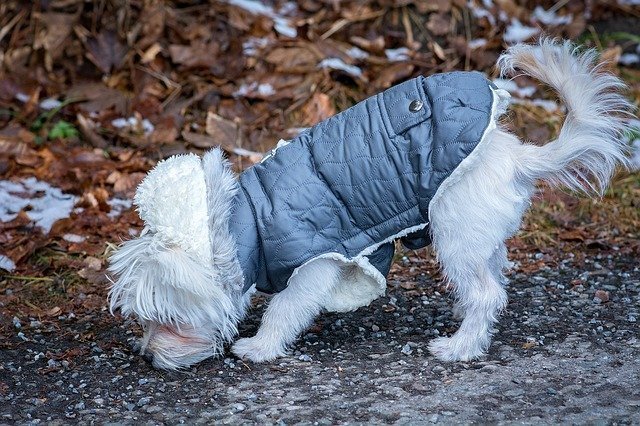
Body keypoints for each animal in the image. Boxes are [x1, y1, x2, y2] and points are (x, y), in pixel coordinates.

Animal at [109, 40, 632, 372]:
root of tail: (512, 155)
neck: (246, 221)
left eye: (168, 320)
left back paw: (462, 346)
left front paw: (259, 347)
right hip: (478, 238)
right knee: (495, 282)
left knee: (487, 294)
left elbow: (284, 307)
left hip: (456, 236)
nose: (147, 356)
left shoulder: (316, 263)